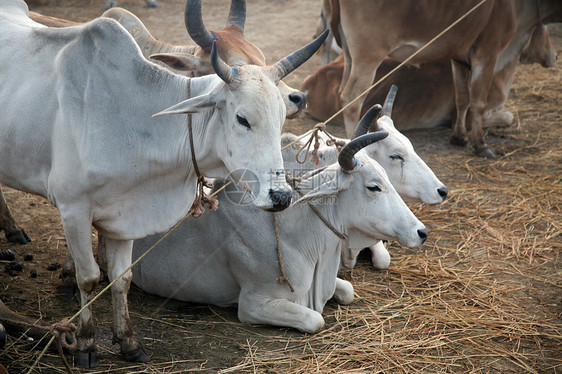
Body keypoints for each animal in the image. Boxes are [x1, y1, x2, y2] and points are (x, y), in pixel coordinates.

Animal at [0, 0, 326, 366]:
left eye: (280, 119)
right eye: (243, 119)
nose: (281, 196)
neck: (132, 117)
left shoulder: (124, 214)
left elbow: (122, 279)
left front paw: (128, 342)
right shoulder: (74, 210)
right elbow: (89, 278)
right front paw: (85, 343)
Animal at [127, 106, 424, 334]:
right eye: (374, 187)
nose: (421, 232)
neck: (297, 231)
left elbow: (348, 290)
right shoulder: (254, 304)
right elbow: (315, 320)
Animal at [328, 0, 560, 158]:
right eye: (545, 32)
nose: (555, 56)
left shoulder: (459, 58)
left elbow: (462, 98)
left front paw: (459, 137)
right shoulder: (487, 53)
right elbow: (478, 103)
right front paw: (481, 145)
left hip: (349, 56)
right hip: (368, 56)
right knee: (351, 99)